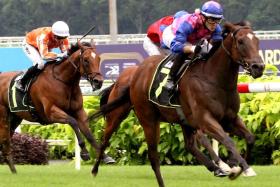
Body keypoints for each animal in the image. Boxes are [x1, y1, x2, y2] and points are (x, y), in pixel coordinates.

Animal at [0, 41, 114, 173]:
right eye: (86, 60)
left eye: (99, 59)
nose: (98, 82)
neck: (63, 81)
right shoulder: (51, 112)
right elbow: (73, 122)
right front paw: (85, 153)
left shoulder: (79, 111)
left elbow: (89, 134)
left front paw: (106, 157)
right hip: (3, 116)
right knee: (5, 141)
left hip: (15, 118)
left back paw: (13, 170)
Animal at [92, 21, 264, 186]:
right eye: (240, 41)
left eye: (257, 40)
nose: (259, 67)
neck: (215, 80)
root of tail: (135, 74)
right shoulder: (205, 120)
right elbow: (228, 141)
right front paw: (235, 169)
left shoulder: (230, 119)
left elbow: (249, 138)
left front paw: (241, 167)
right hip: (141, 118)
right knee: (126, 146)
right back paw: (96, 169)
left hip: (184, 121)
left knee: (189, 145)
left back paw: (215, 168)